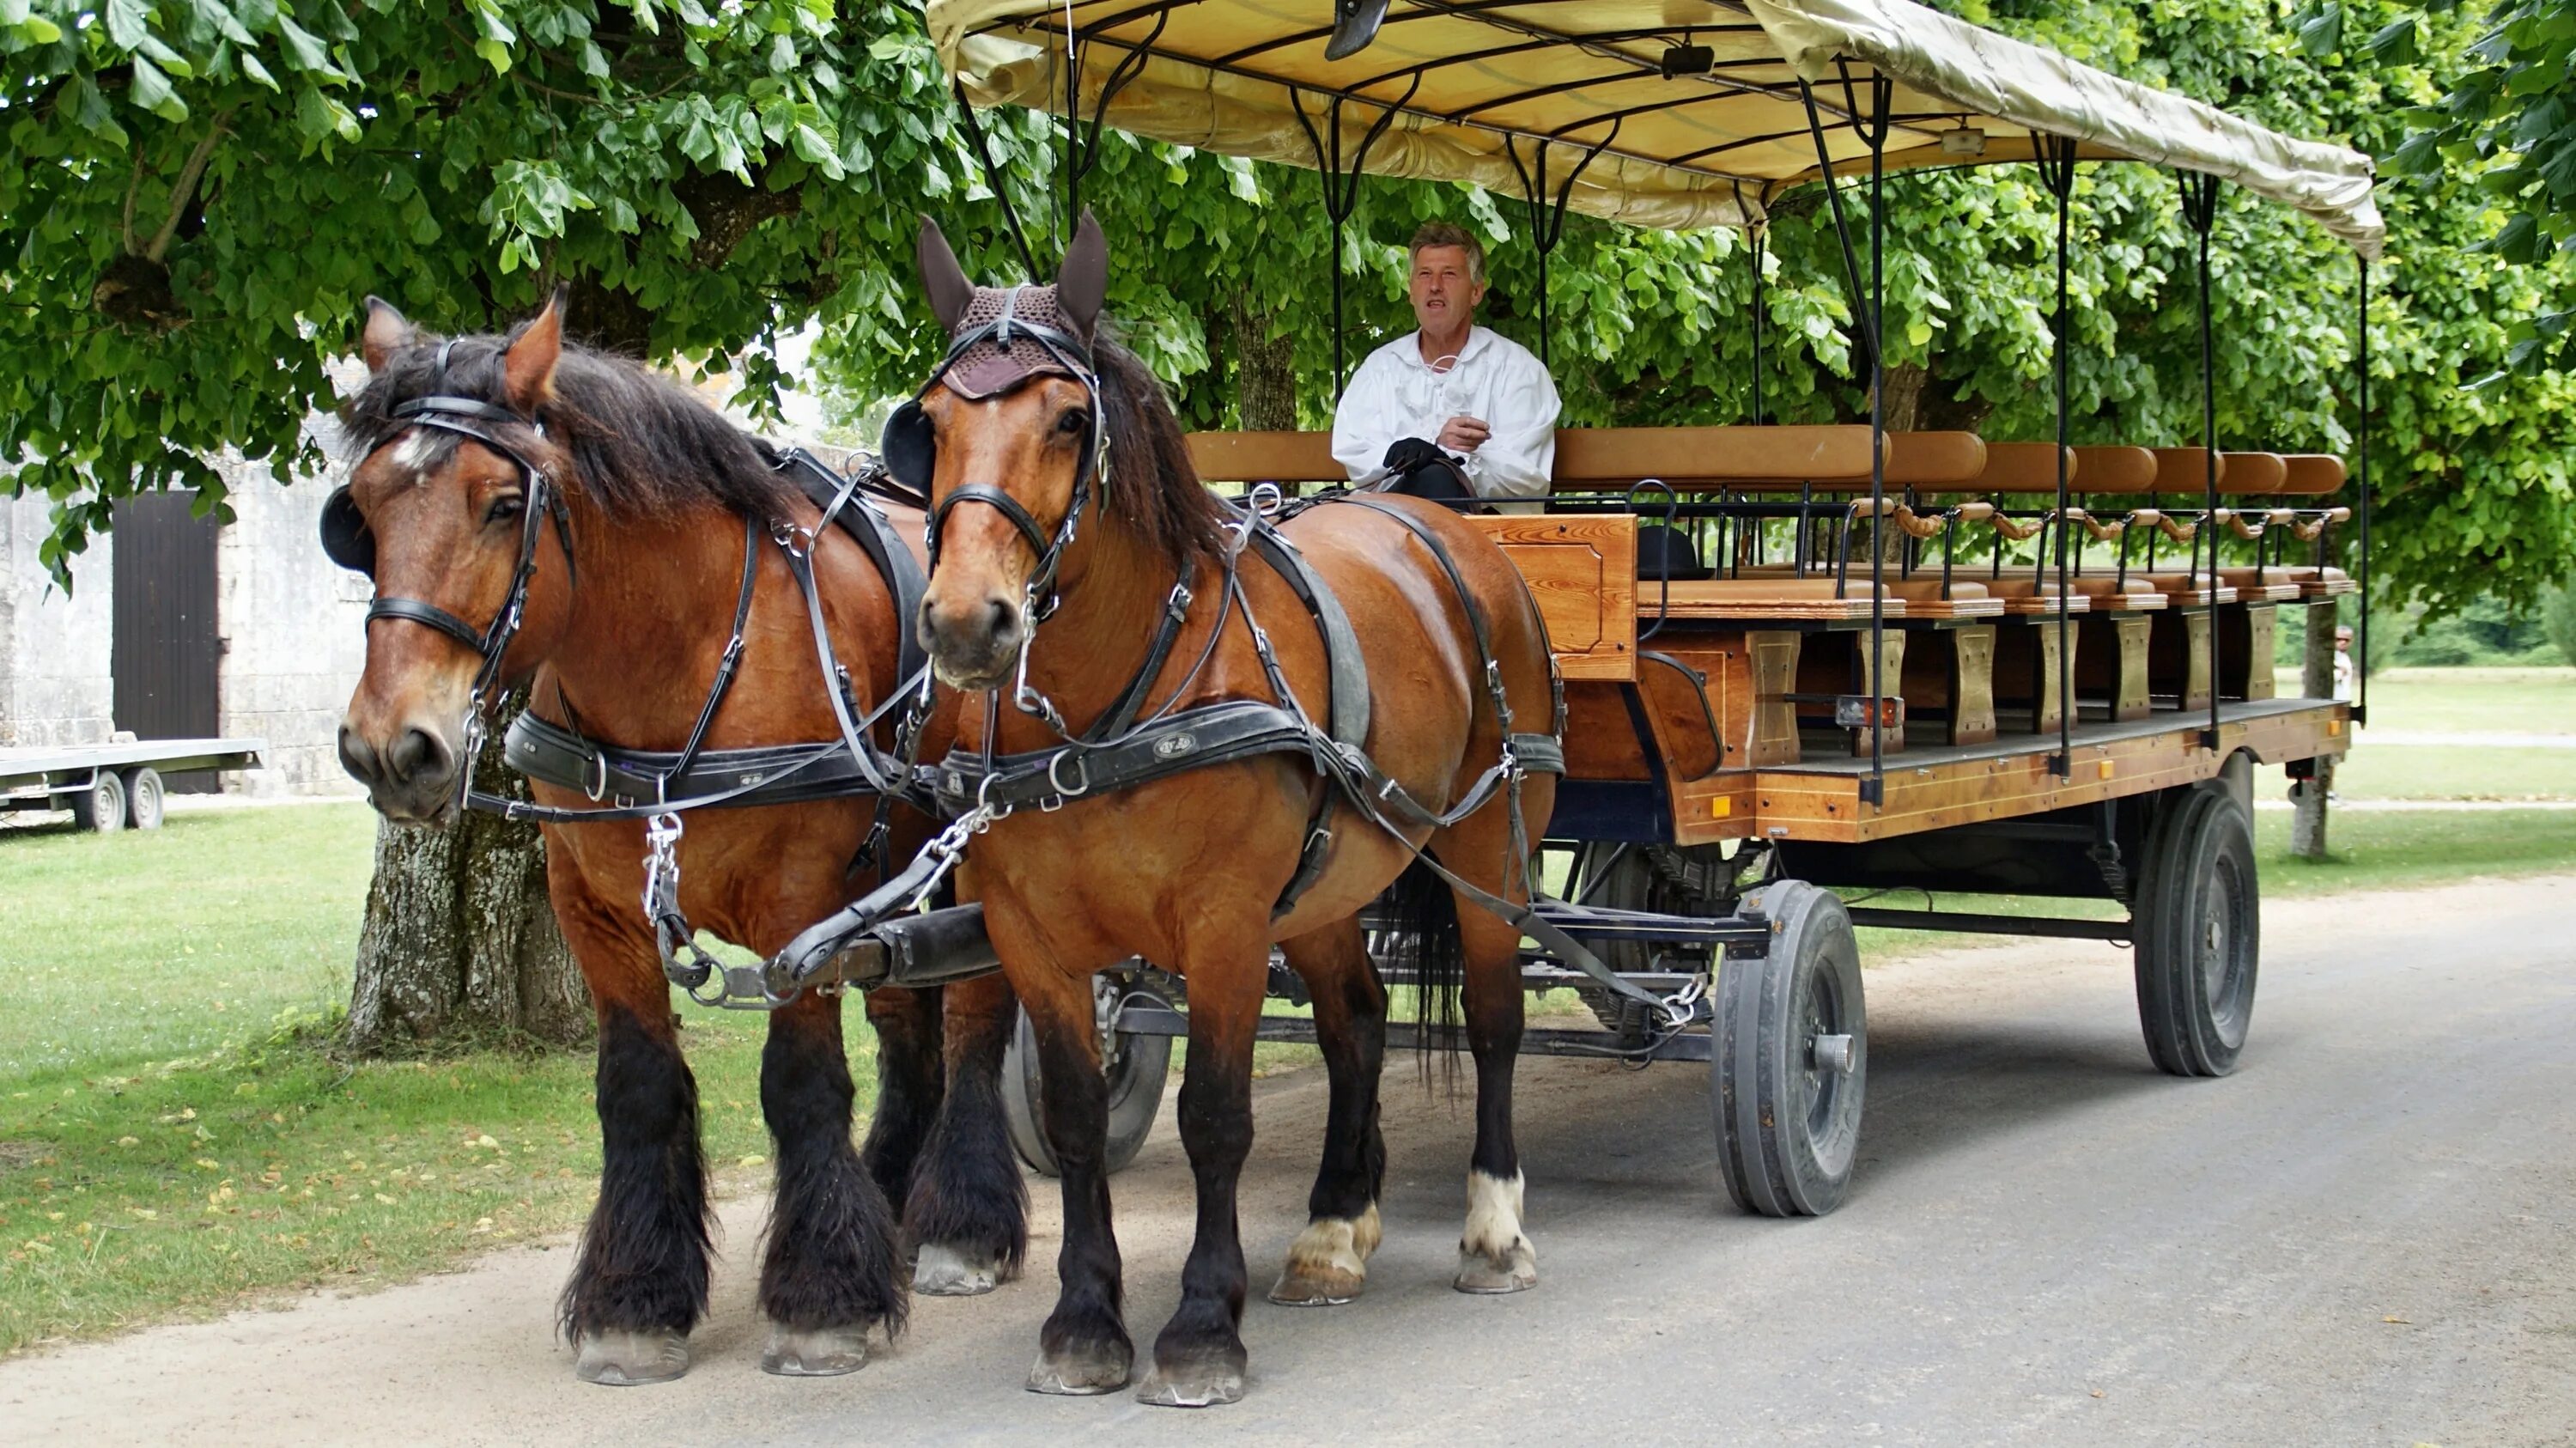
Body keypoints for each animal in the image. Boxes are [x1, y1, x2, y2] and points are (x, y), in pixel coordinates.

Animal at [330, 299, 1025, 1381]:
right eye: (361, 512)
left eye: (501, 504)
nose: (391, 748)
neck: (685, 653)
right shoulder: (595, 910)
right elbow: (638, 1088)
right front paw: (634, 1300)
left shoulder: (799, 906)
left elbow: (800, 1084)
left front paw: (822, 1295)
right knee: (908, 1021)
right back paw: (893, 1198)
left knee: (974, 1016)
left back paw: (962, 1223)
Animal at [902, 220, 1546, 1402]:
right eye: (928, 423)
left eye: (1070, 420)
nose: (969, 623)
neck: (1106, 712)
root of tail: (1438, 520)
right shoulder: (1031, 937)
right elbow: (1072, 1121)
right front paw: (1083, 1322)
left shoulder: (1227, 926)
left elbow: (1214, 1117)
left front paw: (1203, 1324)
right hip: (1334, 878)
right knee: (1356, 1024)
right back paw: (1336, 1226)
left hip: (1491, 852)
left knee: (1492, 1019)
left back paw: (1492, 1229)